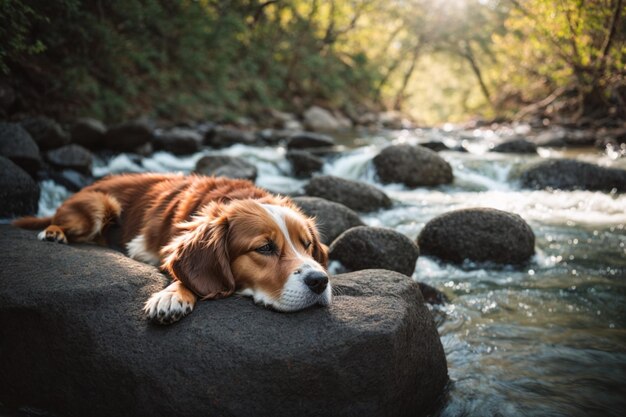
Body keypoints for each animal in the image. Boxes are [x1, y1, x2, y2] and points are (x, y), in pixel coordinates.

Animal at [12, 172, 330, 322]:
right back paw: (54, 232)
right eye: (265, 248)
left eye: (307, 246)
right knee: (61, 221)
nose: (320, 281)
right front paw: (171, 295)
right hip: (99, 206)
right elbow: (181, 274)